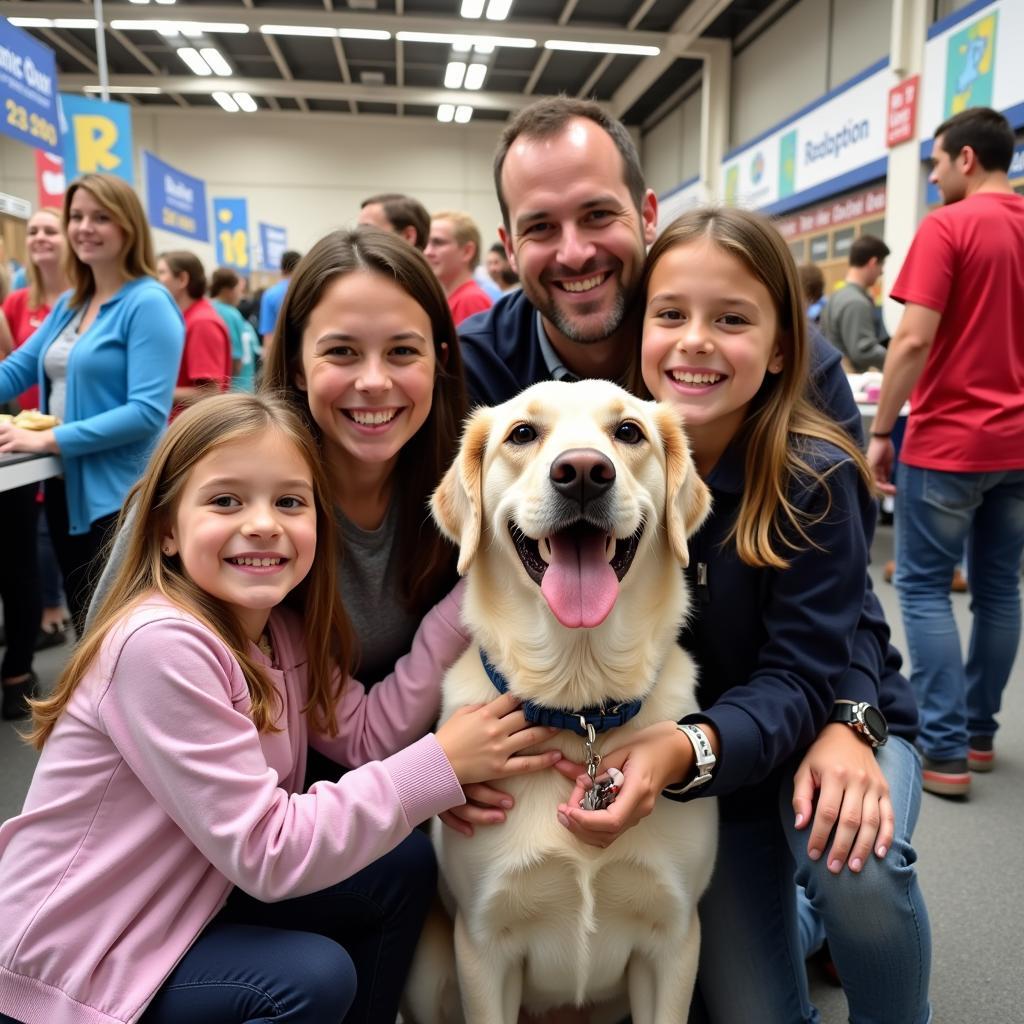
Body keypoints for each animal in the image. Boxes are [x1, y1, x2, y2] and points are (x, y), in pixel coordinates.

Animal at [403, 380, 716, 1019]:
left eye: (628, 432)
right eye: (522, 433)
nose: (583, 473)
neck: (582, 704)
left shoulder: (674, 941)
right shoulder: (483, 947)